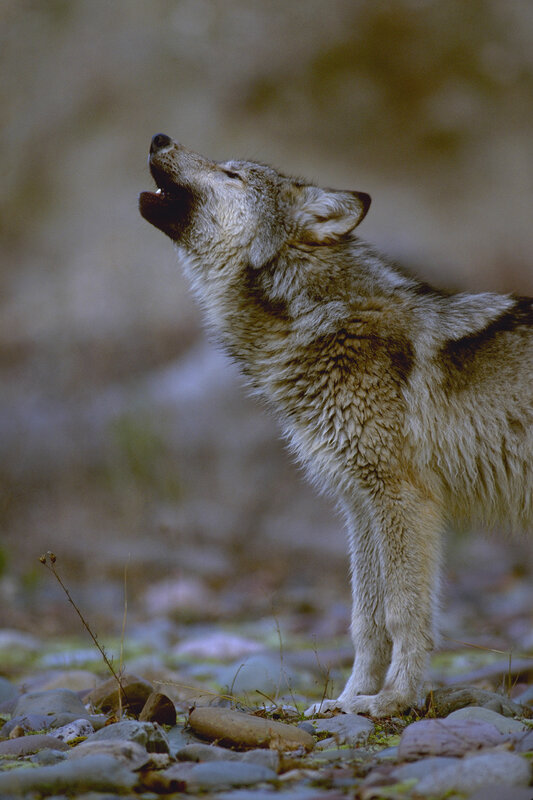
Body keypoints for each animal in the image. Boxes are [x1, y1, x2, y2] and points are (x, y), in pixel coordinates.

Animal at [139, 133, 533, 717]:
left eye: (233, 175)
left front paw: (394, 700)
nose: (159, 138)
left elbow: (402, 611)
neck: (316, 317)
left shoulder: (402, 499)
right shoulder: (358, 504)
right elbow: (365, 619)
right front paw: (348, 699)